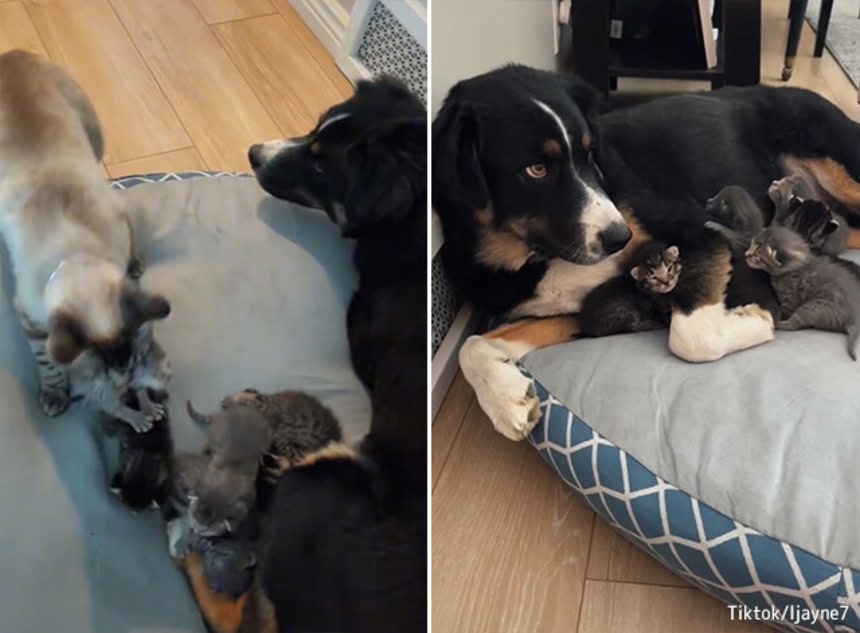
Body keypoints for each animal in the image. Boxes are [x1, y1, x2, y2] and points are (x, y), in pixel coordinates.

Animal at [0, 50, 170, 419]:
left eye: (133, 362)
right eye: (102, 367)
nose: (125, 388)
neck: (77, 254)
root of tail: (12, 55)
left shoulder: (114, 216)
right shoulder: (33, 322)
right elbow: (47, 363)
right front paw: (55, 394)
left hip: (95, 142)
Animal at [745, 225, 860, 359]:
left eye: (758, 256)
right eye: (753, 244)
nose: (746, 255)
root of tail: (855, 319)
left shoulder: (790, 298)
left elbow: (784, 310)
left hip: (813, 307)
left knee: (794, 325)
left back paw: (778, 324)